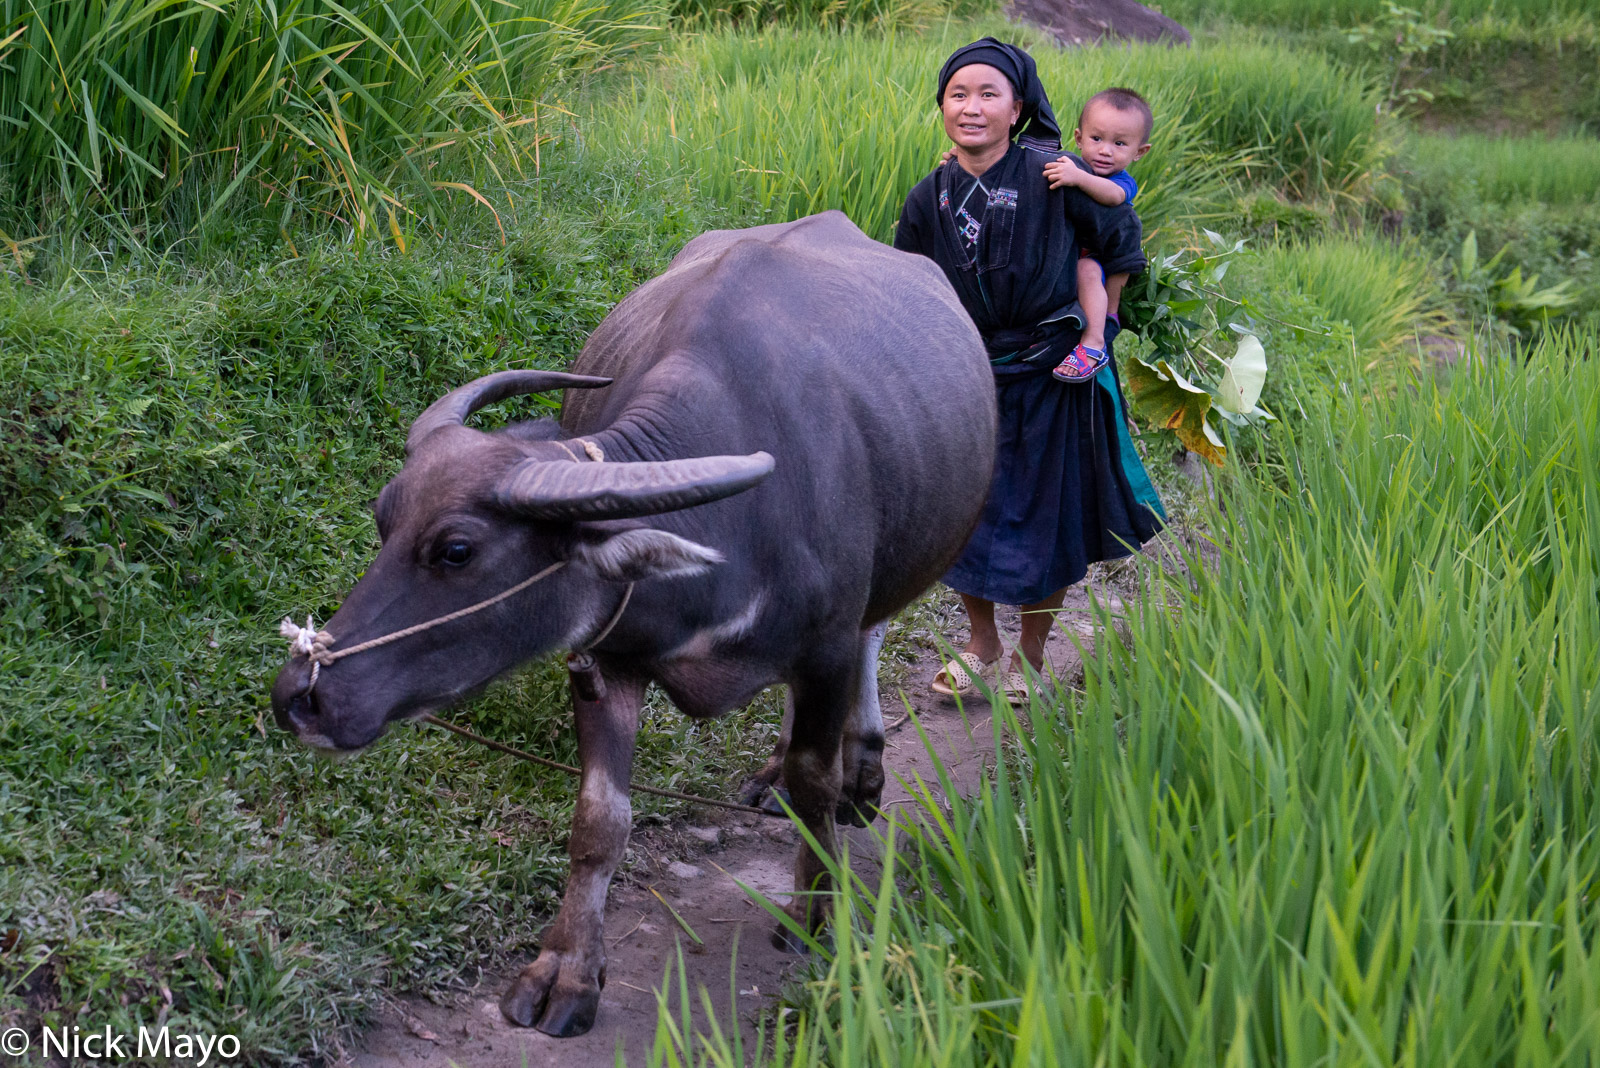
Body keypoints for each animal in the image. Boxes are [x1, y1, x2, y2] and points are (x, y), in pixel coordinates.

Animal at [268, 207, 992, 1036]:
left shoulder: (826, 650)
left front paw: (817, 915)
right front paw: (567, 970)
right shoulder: (607, 662)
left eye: (456, 549)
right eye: (383, 518)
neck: (725, 543)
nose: (299, 695)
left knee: (875, 636)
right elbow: (599, 820)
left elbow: (816, 782)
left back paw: (863, 770)